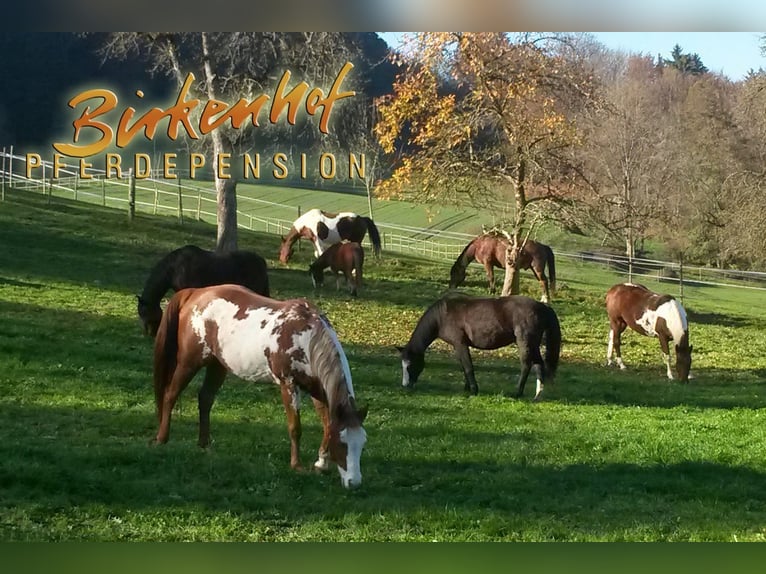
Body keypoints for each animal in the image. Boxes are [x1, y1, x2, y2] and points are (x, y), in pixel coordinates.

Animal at [152, 284, 368, 490]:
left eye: (362, 443)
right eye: (341, 443)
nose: (354, 482)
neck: (305, 336)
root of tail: (195, 293)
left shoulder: (317, 388)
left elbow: (326, 424)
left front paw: (321, 463)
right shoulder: (288, 384)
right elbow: (295, 427)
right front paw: (296, 465)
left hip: (217, 365)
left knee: (205, 399)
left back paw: (204, 445)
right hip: (189, 362)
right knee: (170, 395)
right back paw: (162, 439)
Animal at [400, 292, 560, 400]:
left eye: (410, 365)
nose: (405, 385)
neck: (442, 315)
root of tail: (542, 306)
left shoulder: (460, 343)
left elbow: (468, 367)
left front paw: (473, 390)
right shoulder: (459, 346)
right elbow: (464, 365)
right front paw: (467, 388)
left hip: (524, 342)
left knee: (526, 364)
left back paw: (517, 393)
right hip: (533, 344)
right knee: (538, 364)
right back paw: (538, 395)